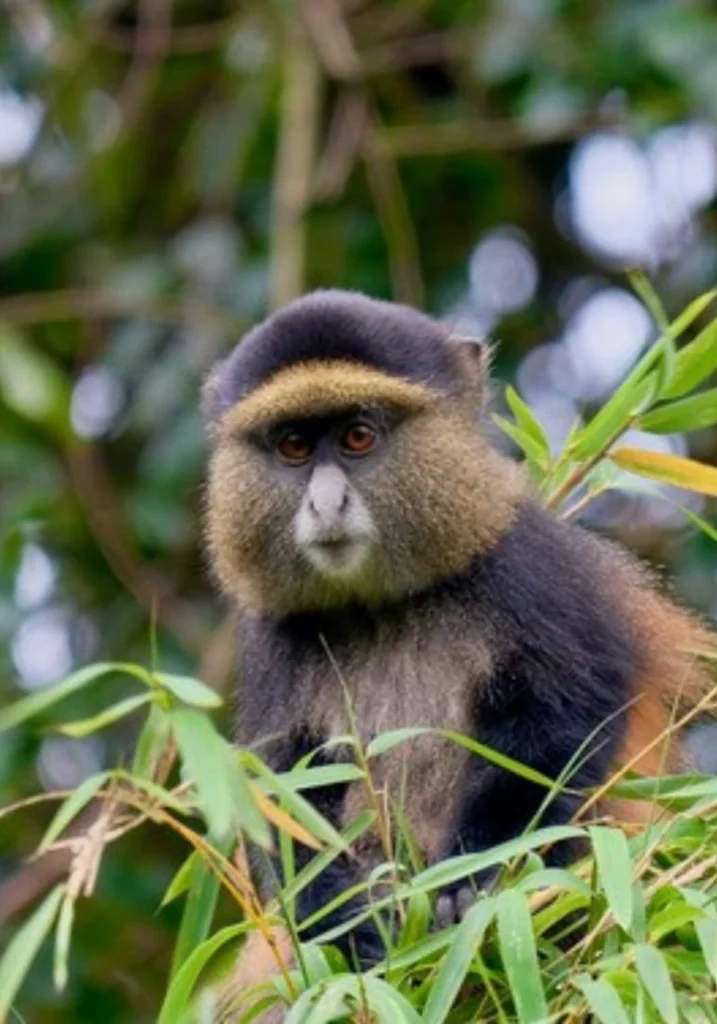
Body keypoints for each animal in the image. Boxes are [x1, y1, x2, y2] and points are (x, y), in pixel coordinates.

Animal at [201, 289, 716, 1015]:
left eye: (359, 437)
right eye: (294, 446)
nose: (326, 503)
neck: (383, 605)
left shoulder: (524, 567)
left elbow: (559, 728)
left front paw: (474, 885)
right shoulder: (271, 638)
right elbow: (286, 796)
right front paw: (357, 925)